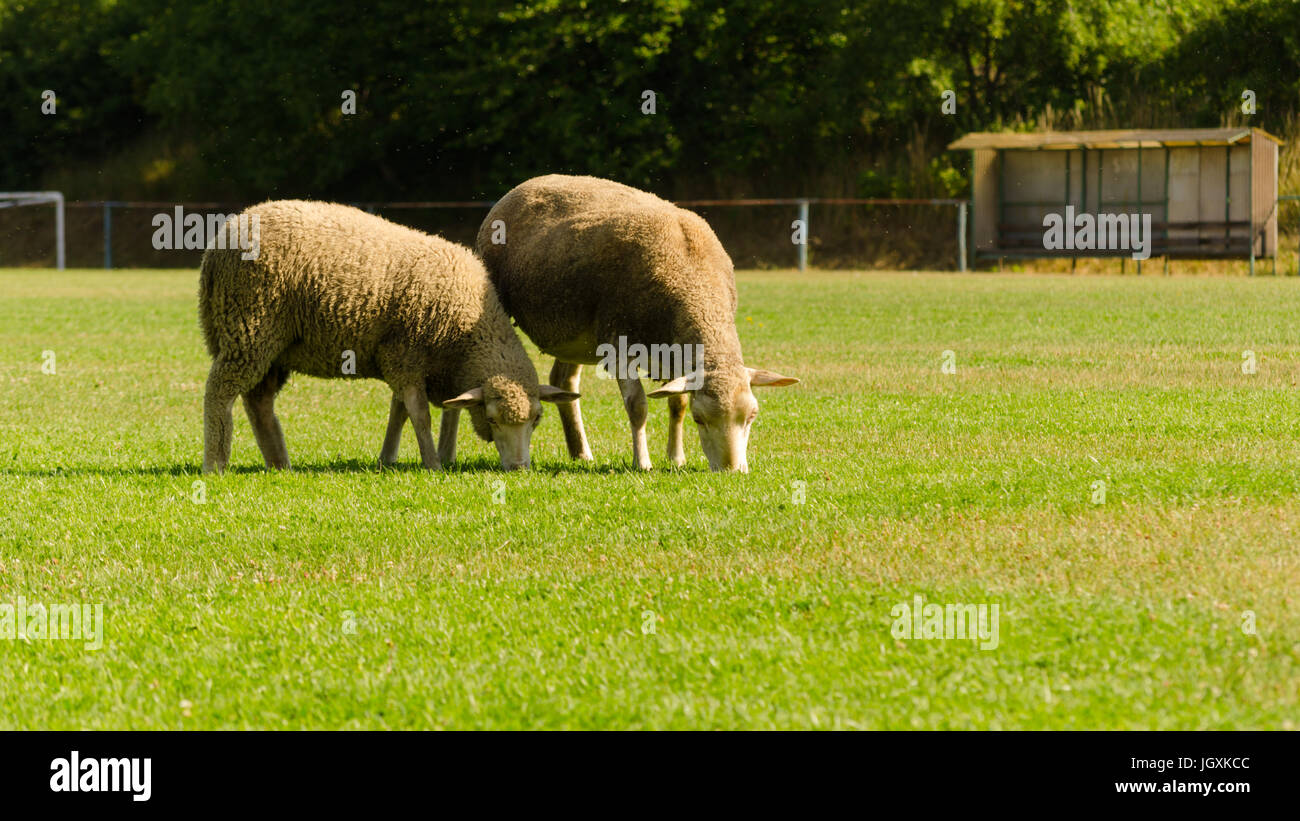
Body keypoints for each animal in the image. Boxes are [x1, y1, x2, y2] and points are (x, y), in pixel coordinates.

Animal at [198, 200, 578, 474]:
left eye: (537, 419)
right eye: (493, 419)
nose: (519, 468)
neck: (466, 328)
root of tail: (222, 238)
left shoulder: (402, 360)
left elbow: (400, 411)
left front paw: (388, 458)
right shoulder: (405, 356)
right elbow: (419, 414)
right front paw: (433, 464)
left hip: (272, 346)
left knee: (258, 402)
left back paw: (280, 464)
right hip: (249, 328)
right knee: (219, 392)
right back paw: (215, 463)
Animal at [475, 174, 797, 472]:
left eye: (752, 416)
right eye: (700, 419)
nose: (732, 470)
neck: (693, 281)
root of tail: (529, 183)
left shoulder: (673, 353)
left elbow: (676, 404)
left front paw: (676, 457)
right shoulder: (618, 347)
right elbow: (638, 406)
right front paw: (642, 462)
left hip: (573, 335)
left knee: (563, 381)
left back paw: (581, 452)